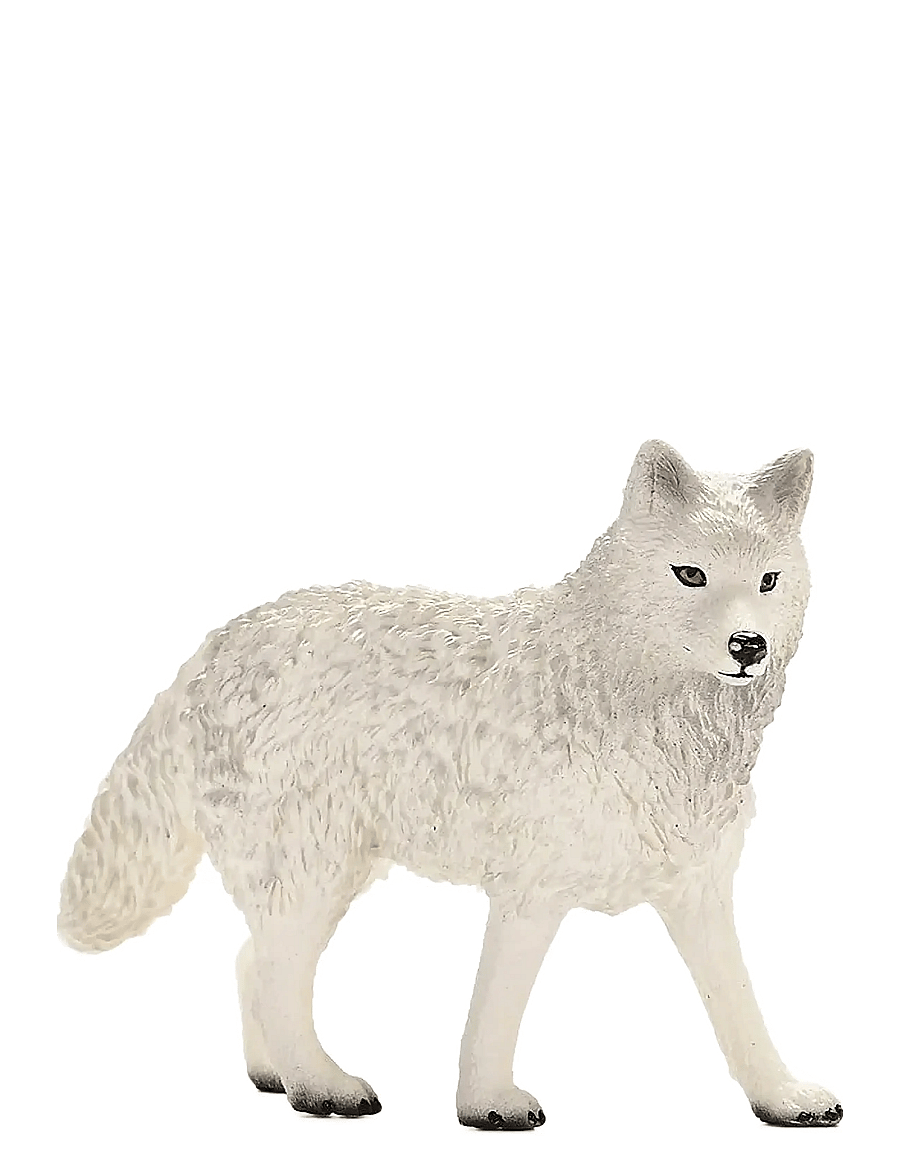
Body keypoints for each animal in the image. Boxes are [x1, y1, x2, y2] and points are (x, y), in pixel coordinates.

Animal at [58, 440, 842, 1132]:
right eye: (691, 575)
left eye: (769, 582)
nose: (749, 646)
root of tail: (214, 644)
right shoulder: (530, 891)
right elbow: (496, 1009)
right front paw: (488, 1105)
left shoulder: (698, 892)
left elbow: (743, 1012)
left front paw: (783, 1099)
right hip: (318, 875)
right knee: (272, 971)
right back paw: (322, 1088)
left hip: (329, 879)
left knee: (248, 962)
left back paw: (279, 1078)